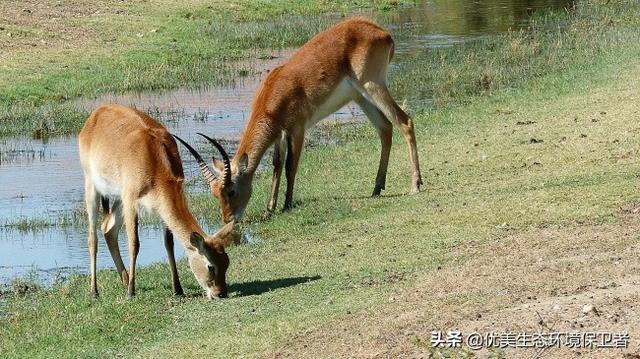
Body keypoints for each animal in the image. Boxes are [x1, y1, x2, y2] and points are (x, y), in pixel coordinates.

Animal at [78, 105, 238, 300]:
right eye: (210, 266)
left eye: (226, 261)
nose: (220, 293)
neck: (153, 157)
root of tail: (98, 111)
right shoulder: (131, 201)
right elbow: (134, 243)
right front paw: (131, 292)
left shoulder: (160, 205)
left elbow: (169, 243)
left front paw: (178, 289)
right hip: (93, 188)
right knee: (92, 238)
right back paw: (95, 291)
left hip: (119, 200)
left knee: (108, 228)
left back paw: (124, 281)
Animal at [182, 17, 420, 225]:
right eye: (215, 193)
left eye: (231, 190)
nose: (228, 220)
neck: (272, 96)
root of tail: (382, 32)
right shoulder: (279, 135)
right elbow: (277, 165)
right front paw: (269, 209)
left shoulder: (297, 129)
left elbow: (290, 166)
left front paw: (287, 204)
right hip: (360, 96)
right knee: (385, 128)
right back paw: (377, 188)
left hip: (373, 85)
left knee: (404, 121)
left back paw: (415, 185)